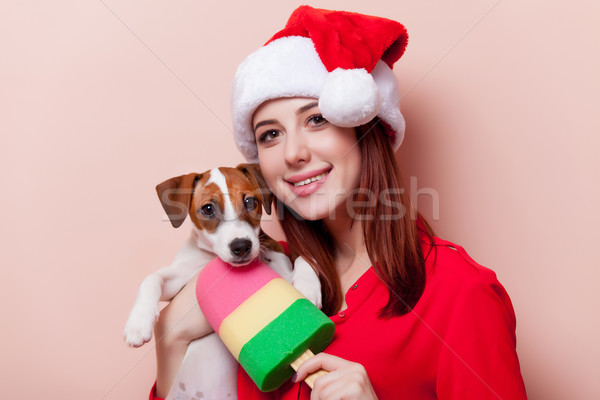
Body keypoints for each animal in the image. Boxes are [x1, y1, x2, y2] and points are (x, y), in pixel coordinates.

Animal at [123, 163, 324, 400]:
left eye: (250, 202)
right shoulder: (179, 278)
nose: (241, 246)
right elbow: (151, 278)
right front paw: (138, 323)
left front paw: (307, 288)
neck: (212, 257)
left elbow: (304, 257)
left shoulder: (281, 266)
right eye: (208, 209)